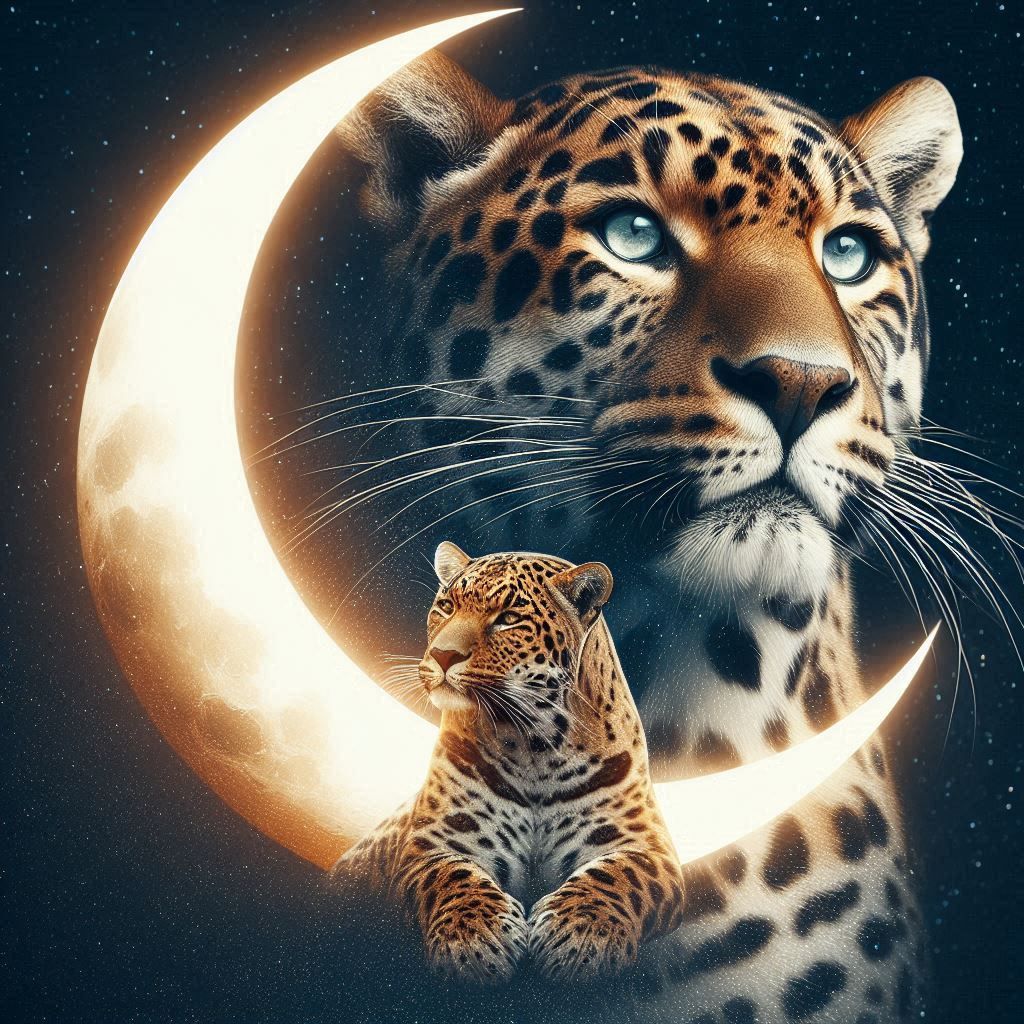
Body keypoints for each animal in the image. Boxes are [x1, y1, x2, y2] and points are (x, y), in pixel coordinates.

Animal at [333, 542, 685, 985]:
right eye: (446, 606)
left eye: (509, 619)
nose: (442, 655)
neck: (536, 747)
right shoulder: (432, 845)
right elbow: (453, 876)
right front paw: (475, 940)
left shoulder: (647, 846)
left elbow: (616, 876)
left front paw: (581, 936)